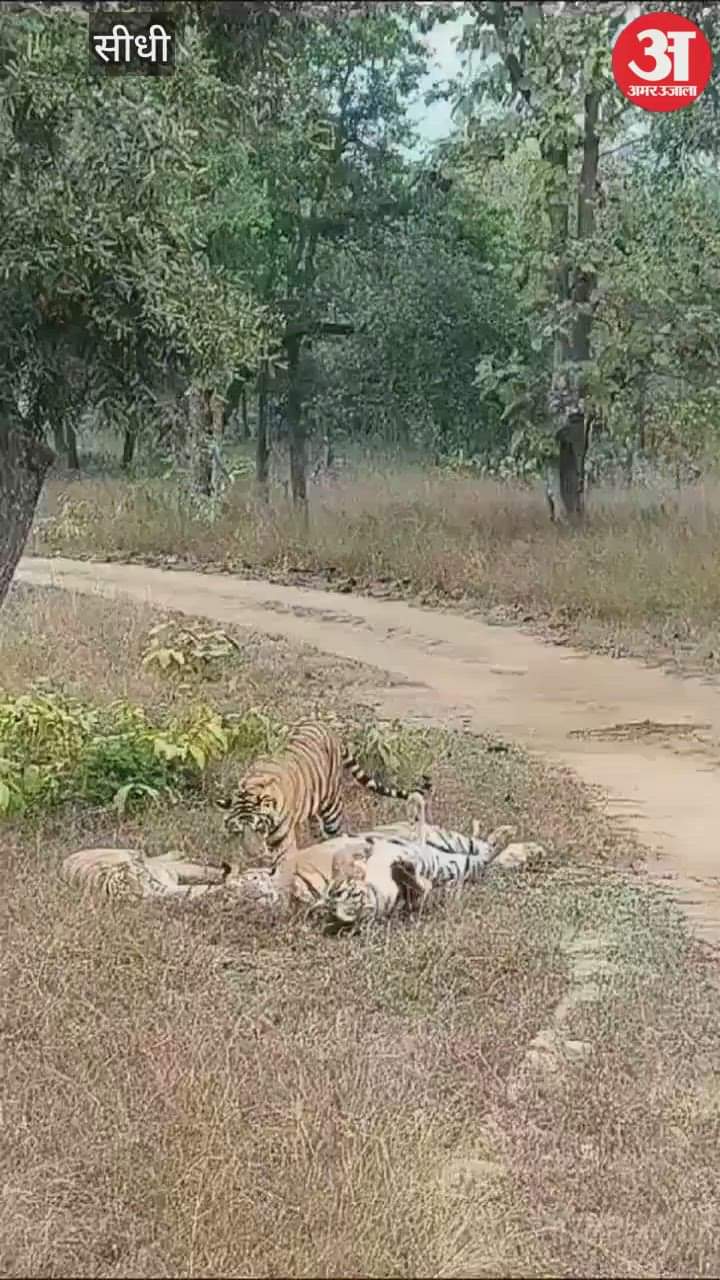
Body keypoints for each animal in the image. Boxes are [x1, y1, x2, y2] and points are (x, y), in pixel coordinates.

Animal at [217, 720, 432, 865]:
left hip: (332, 810)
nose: (254, 855)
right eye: (237, 831)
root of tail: (328, 728)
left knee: (338, 832)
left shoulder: (282, 840)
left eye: (259, 827)